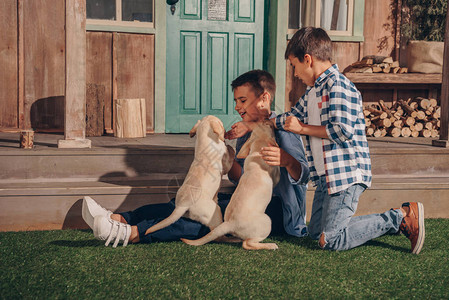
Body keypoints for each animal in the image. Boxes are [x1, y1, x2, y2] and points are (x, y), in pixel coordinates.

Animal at [180, 120, 278, 250]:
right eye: (268, 126)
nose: (267, 120)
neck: (257, 151)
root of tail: (230, 224)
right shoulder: (276, 174)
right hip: (267, 222)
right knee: (247, 243)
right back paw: (270, 245)